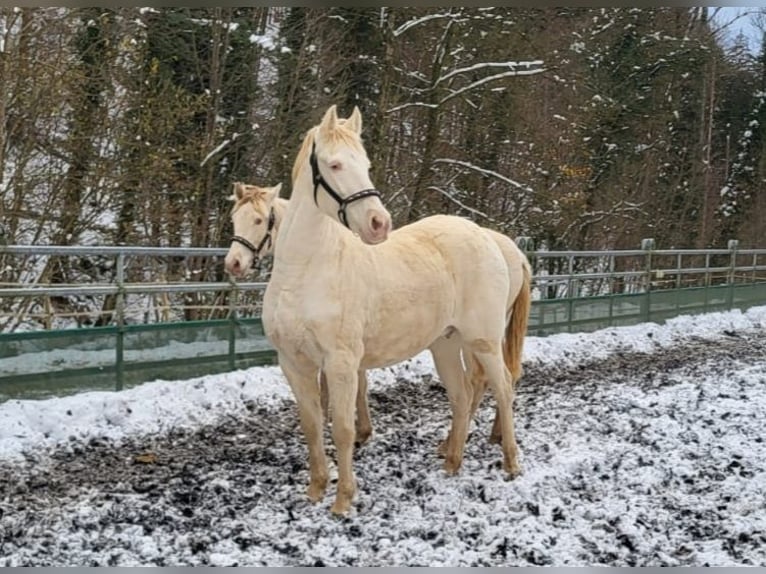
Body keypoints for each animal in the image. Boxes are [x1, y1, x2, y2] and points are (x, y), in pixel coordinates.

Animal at [225, 182, 532, 452]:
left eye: (259, 220)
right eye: (234, 219)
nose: (234, 263)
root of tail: (510, 251)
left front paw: (351, 430)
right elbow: (360, 385)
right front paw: (361, 430)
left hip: (478, 334)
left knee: (485, 380)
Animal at [262, 104, 520, 516]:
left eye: (365, 164)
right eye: (334, 165)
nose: (378, 223)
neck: (305, 270)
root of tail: (488, 239)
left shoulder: (341, 363)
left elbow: (343, 429)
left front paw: (342, 499)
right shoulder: (293, 363)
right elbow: (312, 426)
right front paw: (315, 490)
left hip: (483, 341)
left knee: (503, 388)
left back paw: (510, 462)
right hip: (445, 344)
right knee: (462, 396)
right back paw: (452, 462)